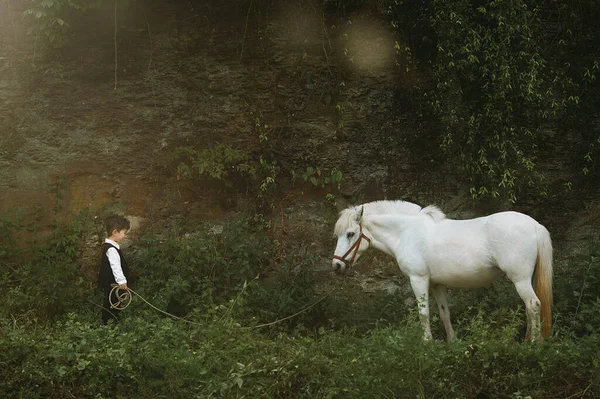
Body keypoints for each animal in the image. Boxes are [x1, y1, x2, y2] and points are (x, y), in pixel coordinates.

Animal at [332, 202, 552, 342]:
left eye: (350, 234)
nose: (336, 266)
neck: (406, 232)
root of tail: (534, 224)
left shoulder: (418, 280)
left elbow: (423, 313)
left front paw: (427, 343)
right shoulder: (437, 284)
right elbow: (445, 313)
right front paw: (452, 342)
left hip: (520, 279)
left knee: (533, 305)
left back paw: (534, 344)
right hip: (527, 279)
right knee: (528, 307)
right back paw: (527, 340)